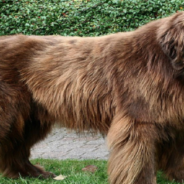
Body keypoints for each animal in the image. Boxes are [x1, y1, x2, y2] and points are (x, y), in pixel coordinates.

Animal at [0, 11, 184, 184]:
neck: (168, 61)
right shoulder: (140, 119)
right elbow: (140, 161)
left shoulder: (173, 118)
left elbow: (177, 155)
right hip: (11, 111)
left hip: (30, 119)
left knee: (16, 148)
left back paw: (31, 174)